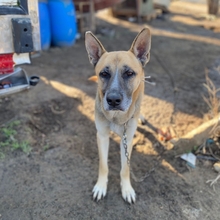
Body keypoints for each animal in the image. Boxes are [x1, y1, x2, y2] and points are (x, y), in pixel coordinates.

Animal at [84, 28, 151, 204]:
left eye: (129, 73)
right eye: (103, 73)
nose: (113, 100)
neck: (115, 116)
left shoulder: (127, 139)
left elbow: (125, 168)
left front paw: (126, 189)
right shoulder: (102, 136)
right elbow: (103, 165)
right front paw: (101, 186)